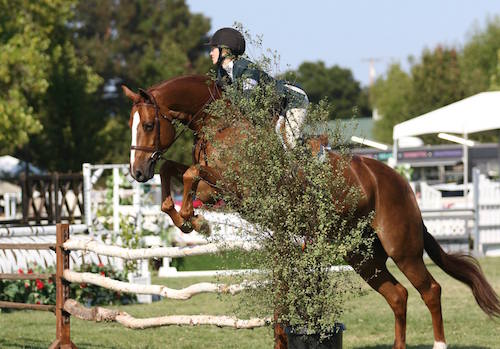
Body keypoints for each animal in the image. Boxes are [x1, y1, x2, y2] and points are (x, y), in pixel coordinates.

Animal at [122, 75, 500, 348]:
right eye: (132, 125)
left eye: (150, 125)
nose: (137, 173)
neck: (222, 126)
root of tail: (400, 182)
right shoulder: (217, 189)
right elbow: (174, 171)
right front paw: (186, 219)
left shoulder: (238, 188)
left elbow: (188, 173)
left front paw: (195, 222)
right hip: (361, 254)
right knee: (398, 295)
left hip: (401, 247)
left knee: (430, 290)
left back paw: (439, 344)